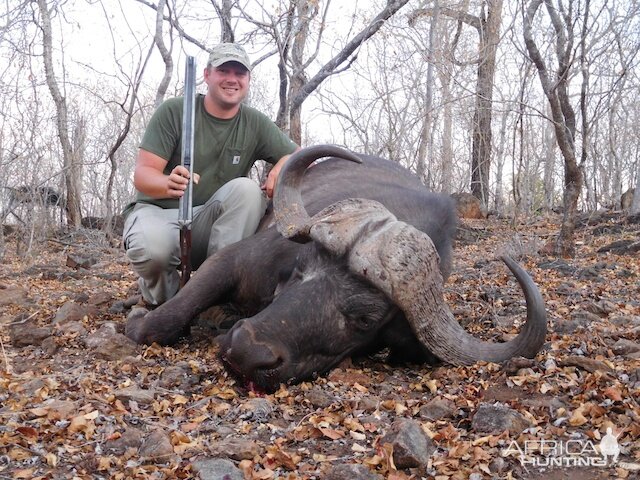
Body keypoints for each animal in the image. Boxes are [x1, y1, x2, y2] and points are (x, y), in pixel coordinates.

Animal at [125, 145, 544, 390]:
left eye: (363, 319)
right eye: (299, 273)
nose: (247, 350)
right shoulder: (235, 262)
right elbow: (171, 314)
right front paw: (140, 321)